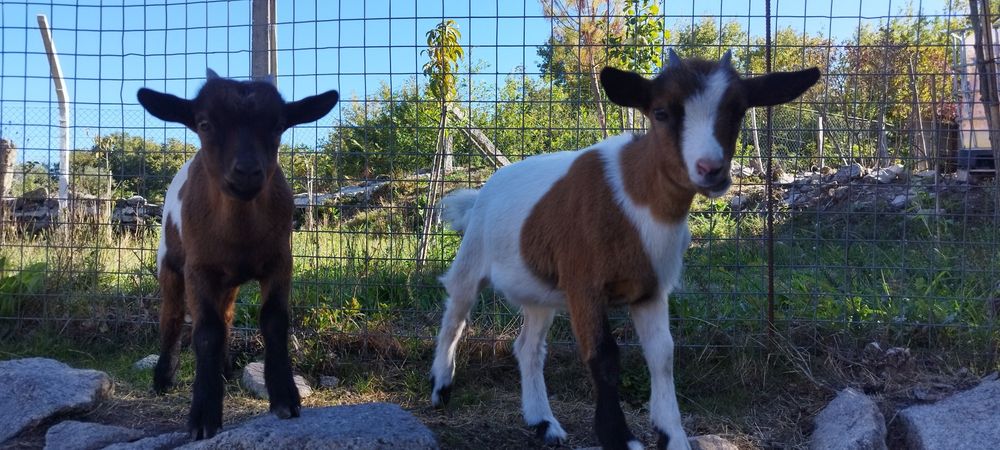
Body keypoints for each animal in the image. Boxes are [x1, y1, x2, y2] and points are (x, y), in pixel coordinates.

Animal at [137, 70, 338, 440]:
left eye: (278, 125)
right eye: (204, 124)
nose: (246, 171)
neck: (239, 233)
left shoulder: (280, 262)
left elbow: (273, 320)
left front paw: (285, 398)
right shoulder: (198, 269)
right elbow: (206, 331)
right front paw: (203, 415)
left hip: (227, 280)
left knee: (227, 316)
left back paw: (225, 370)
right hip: (170, 263)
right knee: (172, 316)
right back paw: (163, 378)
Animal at [430, 50, 819, 450]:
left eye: (738, 111)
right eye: (660, 112)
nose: (711, 170)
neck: (636, 201)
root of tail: (482, 192)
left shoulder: (650, 290)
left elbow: (662, 355)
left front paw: (672, 435)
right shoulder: (584, 284)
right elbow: (603, 356)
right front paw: (619, 436)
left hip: (540, 290)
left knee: (529, 347)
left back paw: (544, 423)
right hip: (473, 256)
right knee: (455, 314)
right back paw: (441, 387)